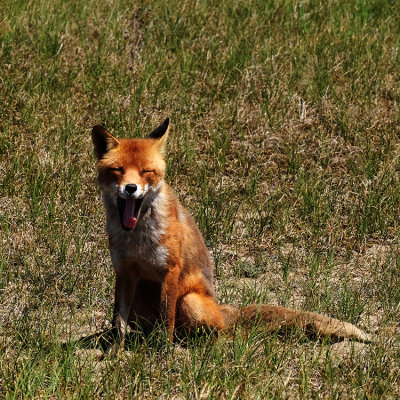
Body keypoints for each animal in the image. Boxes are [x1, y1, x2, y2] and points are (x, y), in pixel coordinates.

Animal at [92, 117, 370, 348]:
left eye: (146, 171)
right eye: (118, 170)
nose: (130, 188)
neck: (136, 239)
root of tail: (225, 314)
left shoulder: (170, 271)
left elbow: (167, 321)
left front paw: (162, 355)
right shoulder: (124, 271)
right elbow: (118, 323)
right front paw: (114, 354)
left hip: (191, 302)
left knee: (210, 335)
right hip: (141, 300)